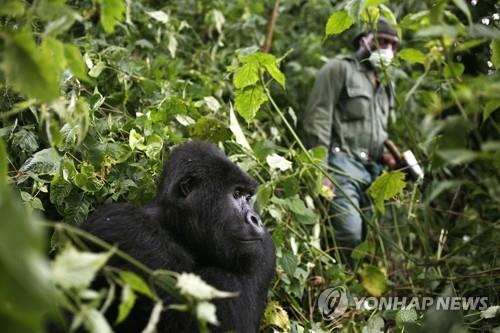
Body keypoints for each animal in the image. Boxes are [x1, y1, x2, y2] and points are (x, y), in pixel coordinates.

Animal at [82, 141, 278, 332]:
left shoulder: (265, 249)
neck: (177, 228)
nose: (256, 219)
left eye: (248, 196)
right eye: (236, 194)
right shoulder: (123, 225)